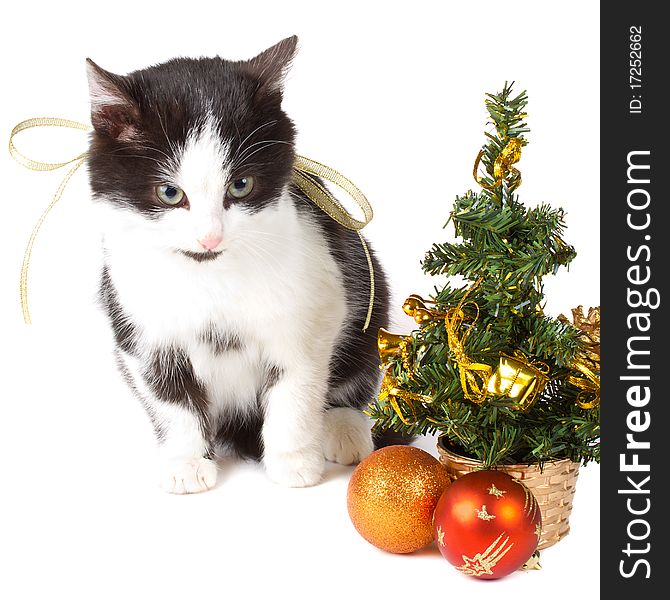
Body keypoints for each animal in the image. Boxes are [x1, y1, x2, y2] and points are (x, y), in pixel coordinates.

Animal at [86, 35, 396, 492]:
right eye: (169, 193)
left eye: (241, 185)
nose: (210, 237)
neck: (210, 276)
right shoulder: (140, 326)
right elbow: (168, 396)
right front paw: (186, 462)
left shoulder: (316, 305)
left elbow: (297, 384)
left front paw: (293, 462)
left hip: (369, 297)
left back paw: (344, 429)